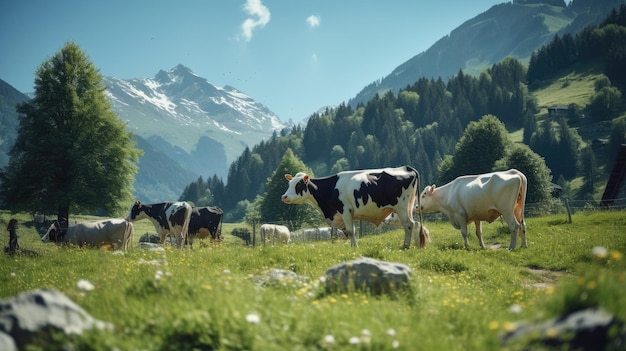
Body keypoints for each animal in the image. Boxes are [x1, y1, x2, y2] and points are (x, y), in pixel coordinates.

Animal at [280, 166, 426, 249]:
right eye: (289, 184)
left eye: (298, 185)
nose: (284, 196)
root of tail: (406, 167)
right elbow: (345, 232)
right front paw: (352, 246)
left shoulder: (345, 210)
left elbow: (350, 231)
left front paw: (354, 247)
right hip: (408, 206)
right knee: (415, 223)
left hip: (401, 207)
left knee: (409, 224)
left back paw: (406, 246)